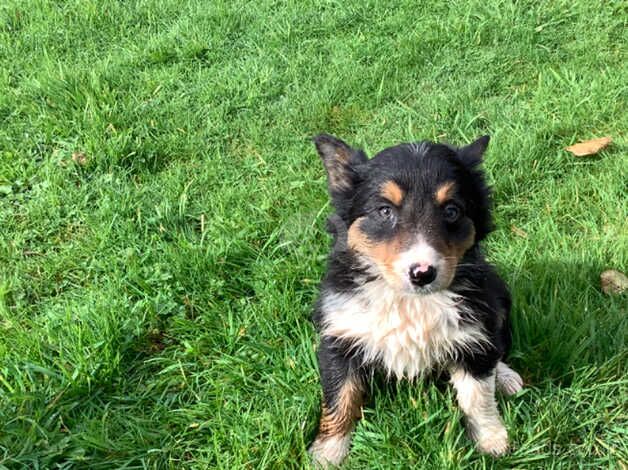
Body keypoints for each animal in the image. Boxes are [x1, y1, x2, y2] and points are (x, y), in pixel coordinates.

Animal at [308, 135, 520, 466]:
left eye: (451, 211)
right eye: (384, 211)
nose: (423, 273)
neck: (408, 301)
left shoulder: (472, 333)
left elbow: (477, 395)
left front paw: (491, 440)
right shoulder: (338, 337)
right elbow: (339, 398)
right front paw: (327, 454)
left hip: (496, 299)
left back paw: (507, 378)